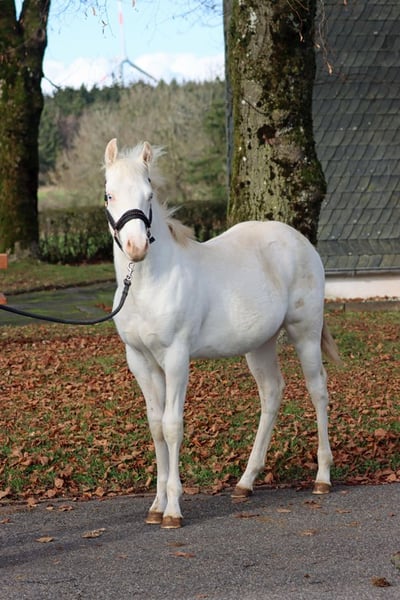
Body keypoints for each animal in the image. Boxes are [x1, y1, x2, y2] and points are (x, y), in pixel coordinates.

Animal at [104, 138, 341, 529]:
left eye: (149, 193)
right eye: (109, 195)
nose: (137, 247)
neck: (148, 285)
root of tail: (299, 241)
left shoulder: (176, 358)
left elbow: (172, 425)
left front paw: (173, 510)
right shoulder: (140, 361)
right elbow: (155, 426)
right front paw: (155, 505)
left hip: (305, 332)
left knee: (318, 391)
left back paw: (322, 477)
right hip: (259, 345)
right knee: (271, 394)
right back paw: (245, 482)